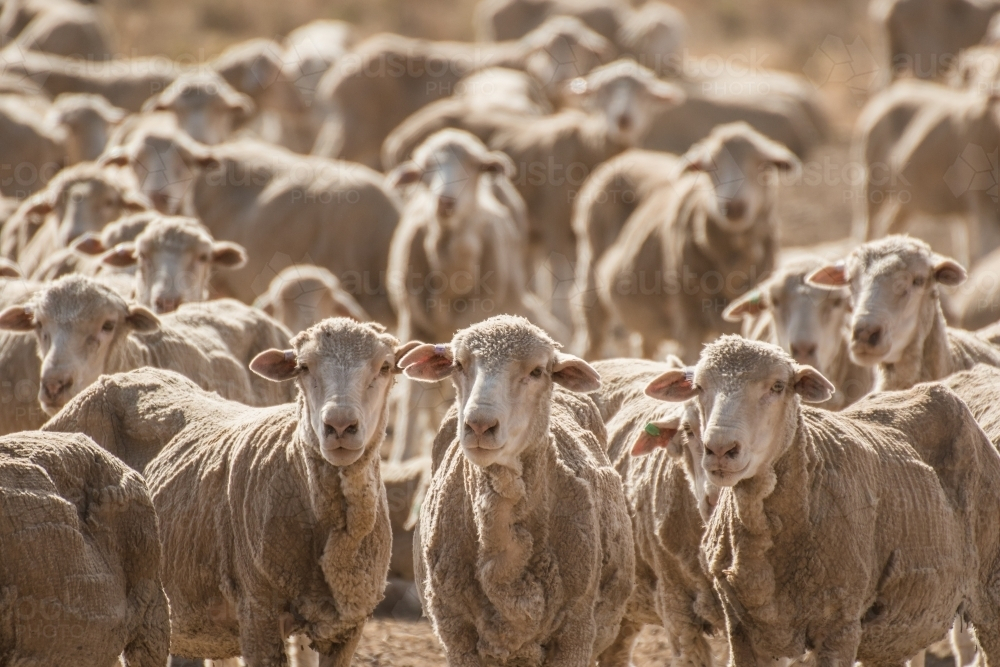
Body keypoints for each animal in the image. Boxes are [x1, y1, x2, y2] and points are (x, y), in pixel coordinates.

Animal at [386, 129, 564, 461]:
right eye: (425, 171)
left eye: (473, 168)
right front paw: (403, 455)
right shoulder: (413, 320)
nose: (445, 201)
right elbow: (414, 395)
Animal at [648, 334, 1000, 667]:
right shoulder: (743, 629)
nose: (720, 449)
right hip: (892, 630)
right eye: (698, 387)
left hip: (991, 593)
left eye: (778, 386)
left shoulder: (839, 627)